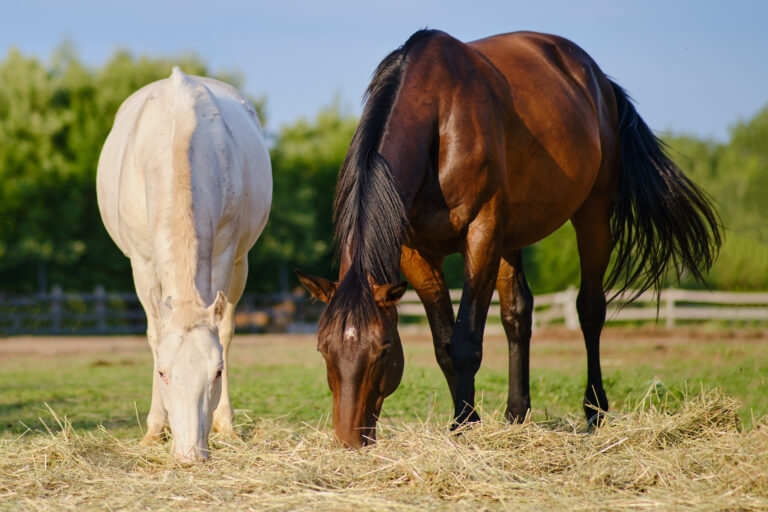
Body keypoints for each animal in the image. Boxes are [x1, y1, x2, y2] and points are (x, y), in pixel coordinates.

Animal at [97, 67, 271, 462]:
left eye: (217, 373)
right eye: (163, 373)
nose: (190, 455)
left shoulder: (225, 254)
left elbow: (223, 330)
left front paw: (225, 426)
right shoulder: (143, 263)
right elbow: (154, 333)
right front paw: (154, 429)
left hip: (242, 263)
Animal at [296, 30, 721, 448]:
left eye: (384, 349)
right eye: (323, 349)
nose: (350, 440)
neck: (438, 116)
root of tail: (599, 81)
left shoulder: (481, 233)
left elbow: (465, 342)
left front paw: (464, 427)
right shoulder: (417, 254)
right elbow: (444, 345)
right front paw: (468, 419)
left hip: (592, 213)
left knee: (590, 310)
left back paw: (594, 411)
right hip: (511, 237)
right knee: (518, 313)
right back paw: (517, 413)